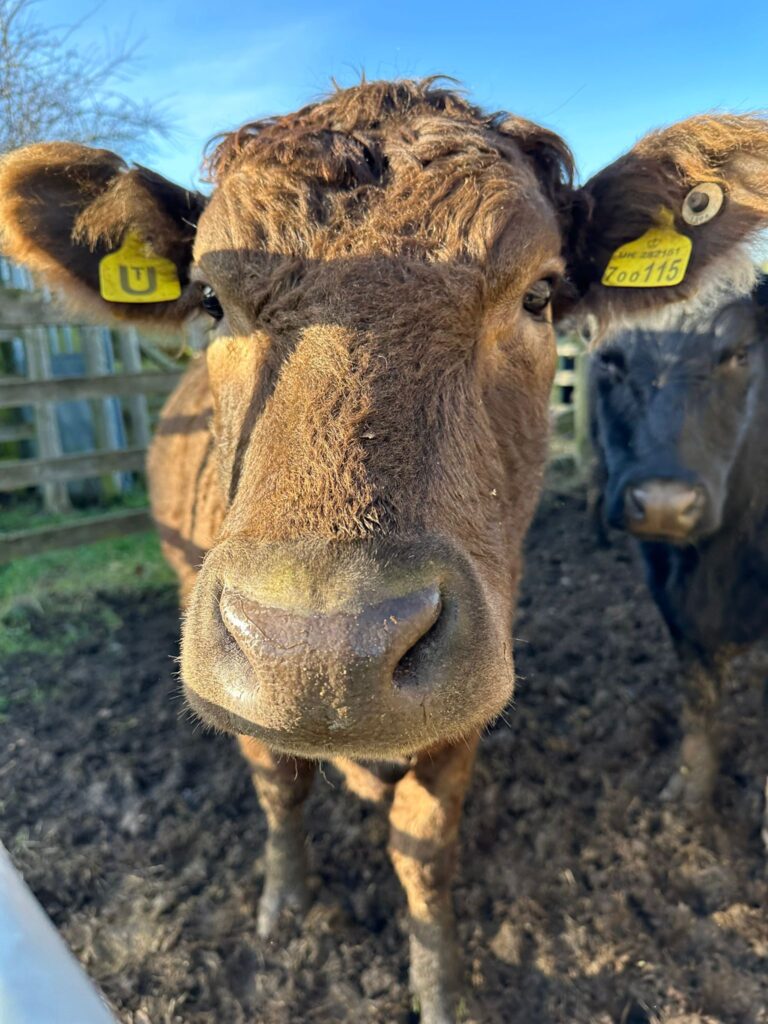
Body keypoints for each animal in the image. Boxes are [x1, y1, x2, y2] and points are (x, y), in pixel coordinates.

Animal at [588, 280, 768, 843]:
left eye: (738, 353)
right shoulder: (671, 603)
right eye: (609, 360)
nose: (665, 502)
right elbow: (698, 701)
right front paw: (689, 793)